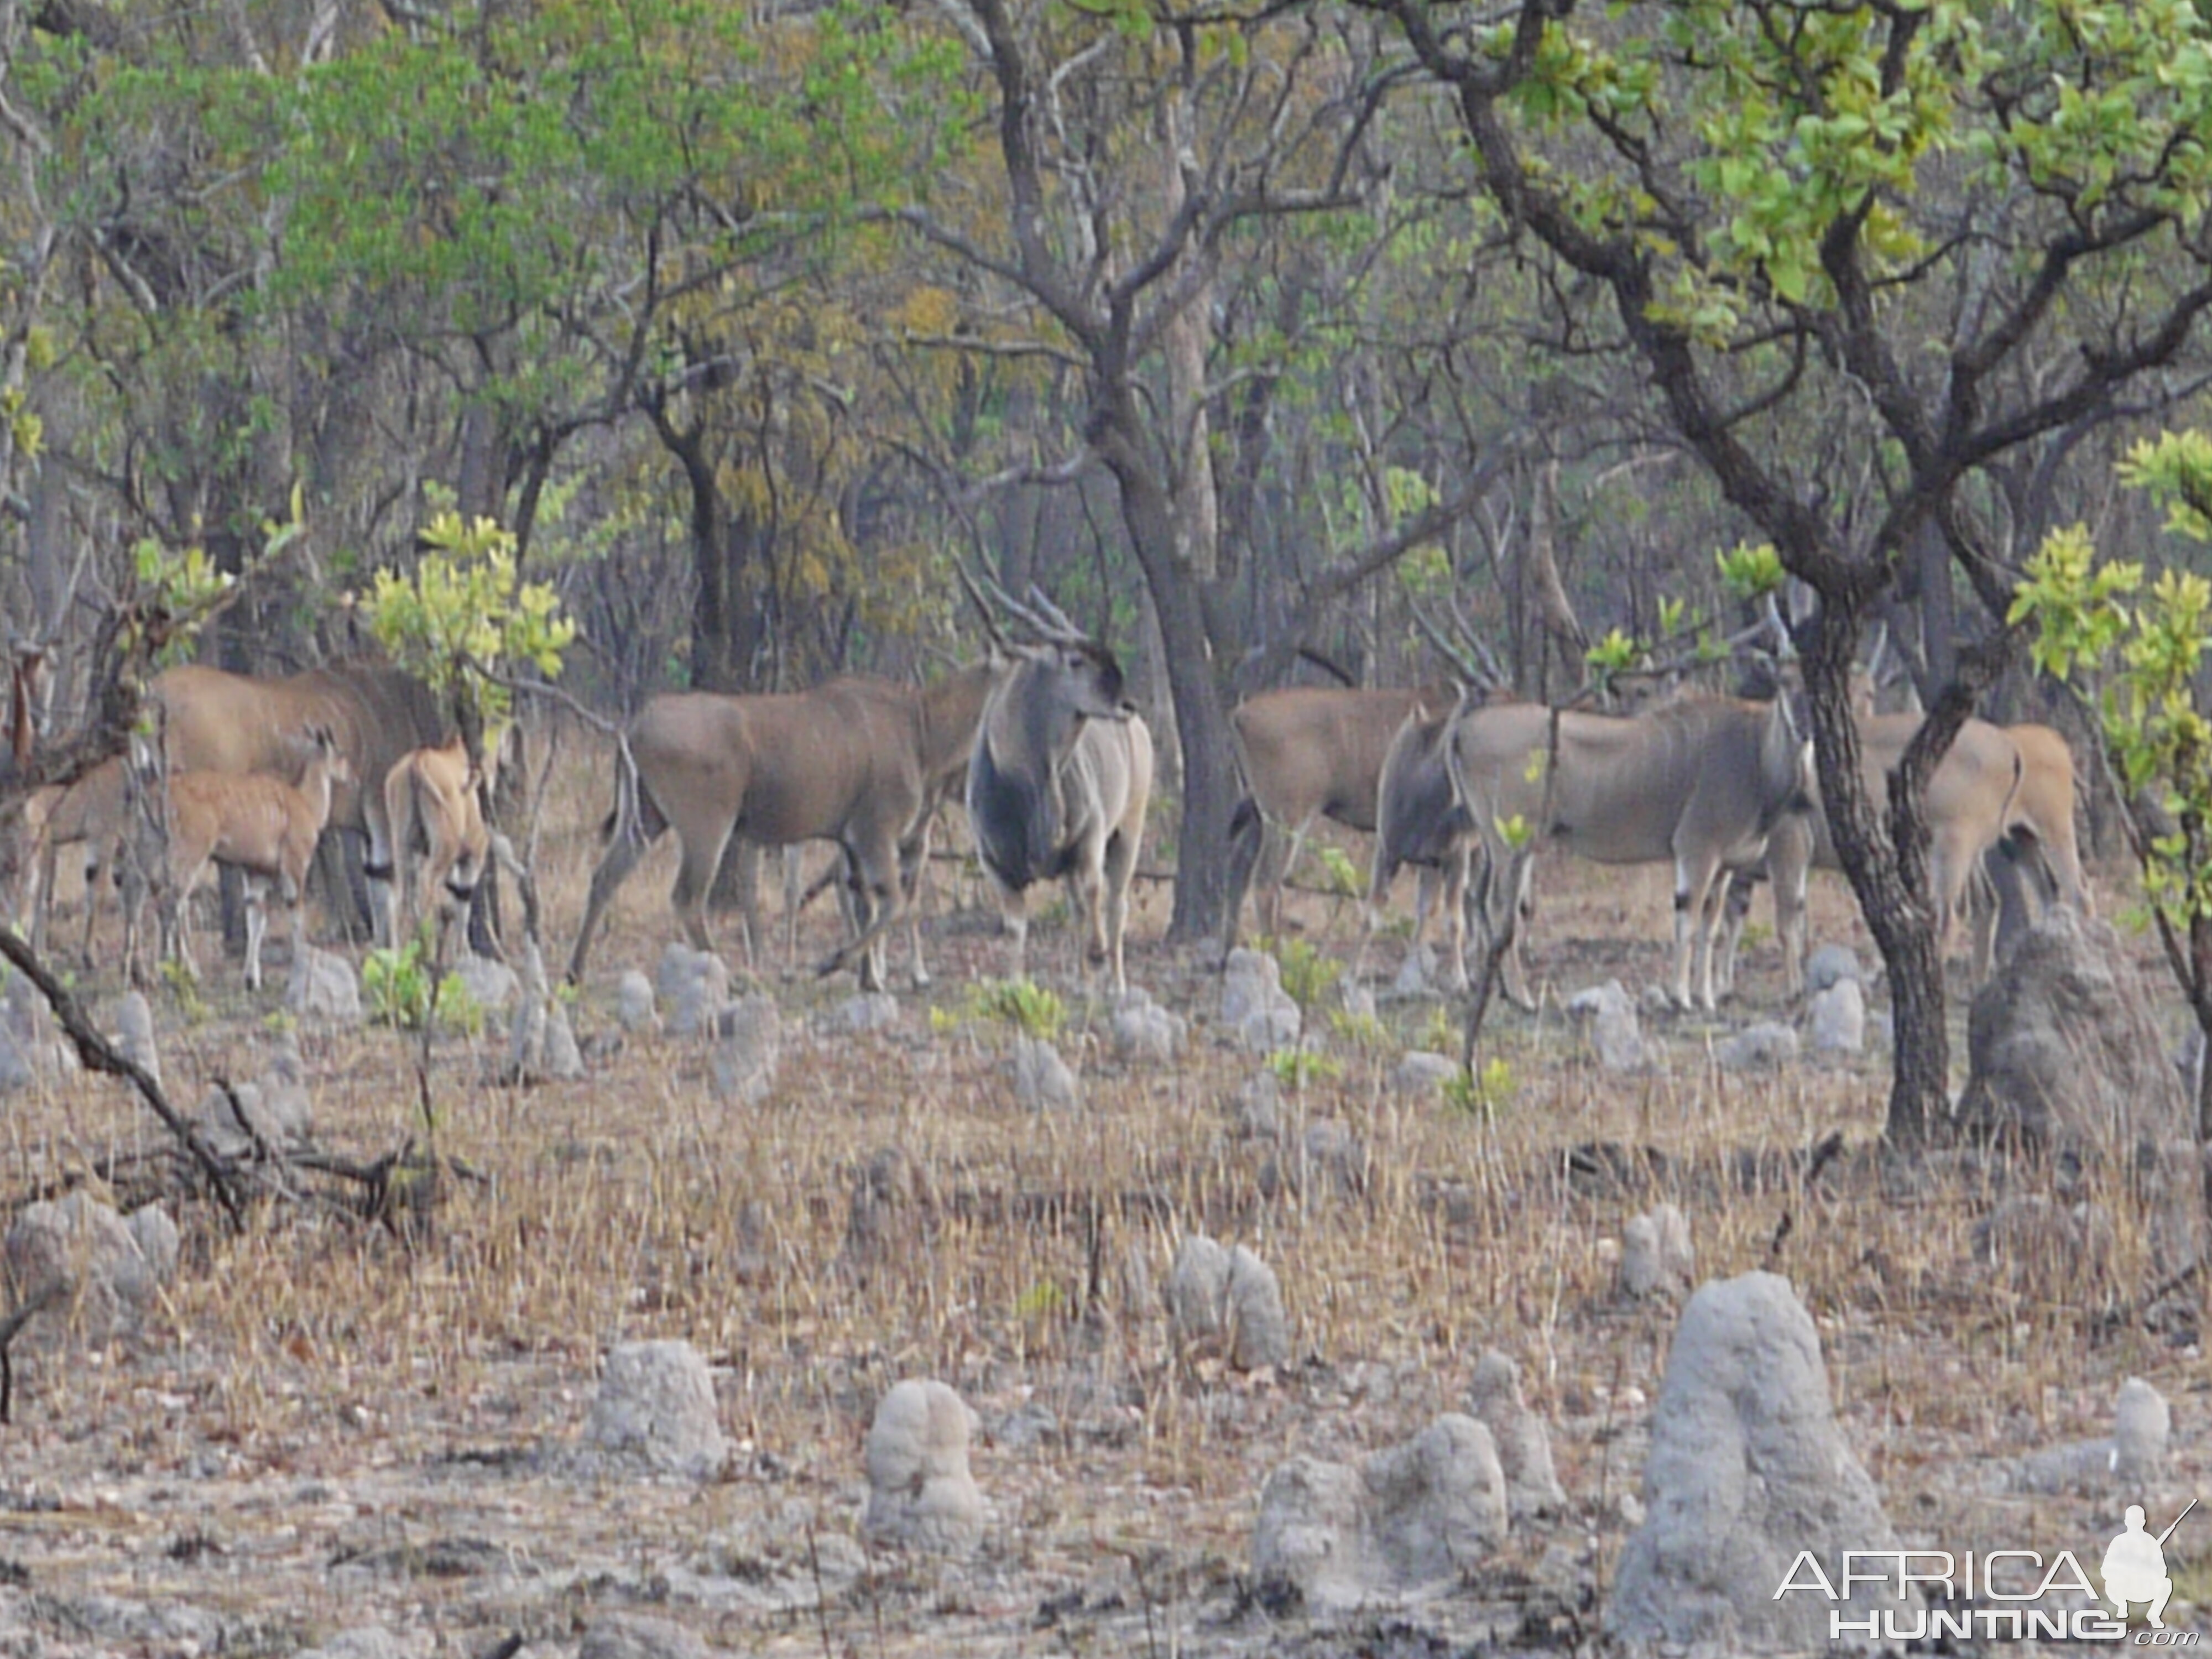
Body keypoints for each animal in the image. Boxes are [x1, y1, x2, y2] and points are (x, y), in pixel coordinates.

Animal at [571, 668, 995, 1000]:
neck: (918, 724)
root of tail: (637, 725)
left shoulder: (854, 843)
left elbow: (865, 905)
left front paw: (870, 980)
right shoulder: (876, 834)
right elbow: (891, 903)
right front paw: (833, 963)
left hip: (645, 820)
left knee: (603, 879)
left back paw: (574, 972)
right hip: (707, 828)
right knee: (687, 897)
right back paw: (732, 979)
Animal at [1451, 690, 1814, 1009]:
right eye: (1785, 680)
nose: (1803, 725)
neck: (1755, 750)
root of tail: (1463, 731)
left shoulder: (1723, 865)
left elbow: (1710, 928)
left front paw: (1706, 998)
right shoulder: (1698, 849)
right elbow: (1689, 919)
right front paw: (1682, 998)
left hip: (1504, 845)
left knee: (1484, 901)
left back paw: (1502, 990)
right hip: (1510, 844)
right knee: (1500, 907)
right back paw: (1522, 998)